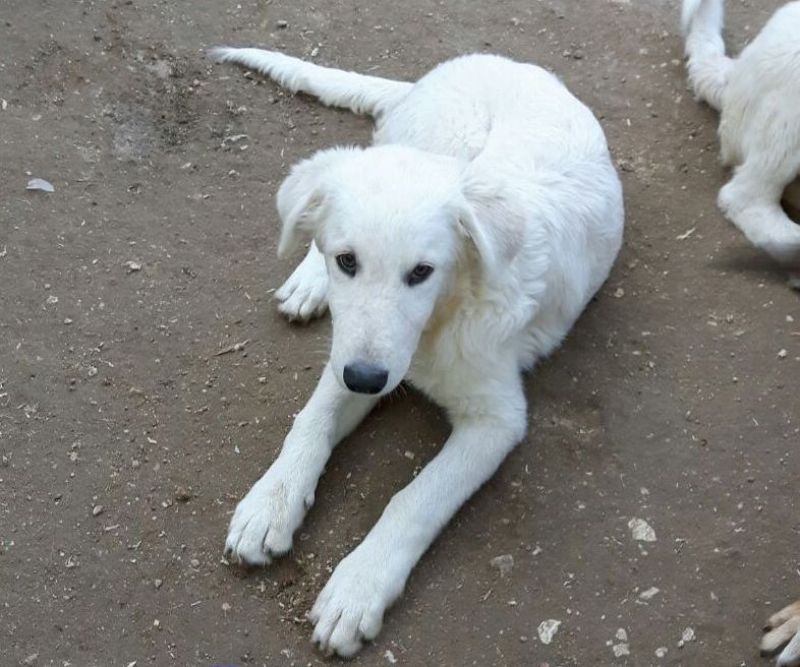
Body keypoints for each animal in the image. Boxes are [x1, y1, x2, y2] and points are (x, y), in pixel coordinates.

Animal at [209, 47, 620, 656]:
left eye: (422, 272)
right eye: (347, 261)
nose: (364, 379)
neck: (441, 320)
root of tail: (490, 60)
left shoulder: (495, 419)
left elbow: (416, 498)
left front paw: (358, 585)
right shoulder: (352, 354)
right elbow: (311, 420)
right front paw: (271, 502)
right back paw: (307, 283)